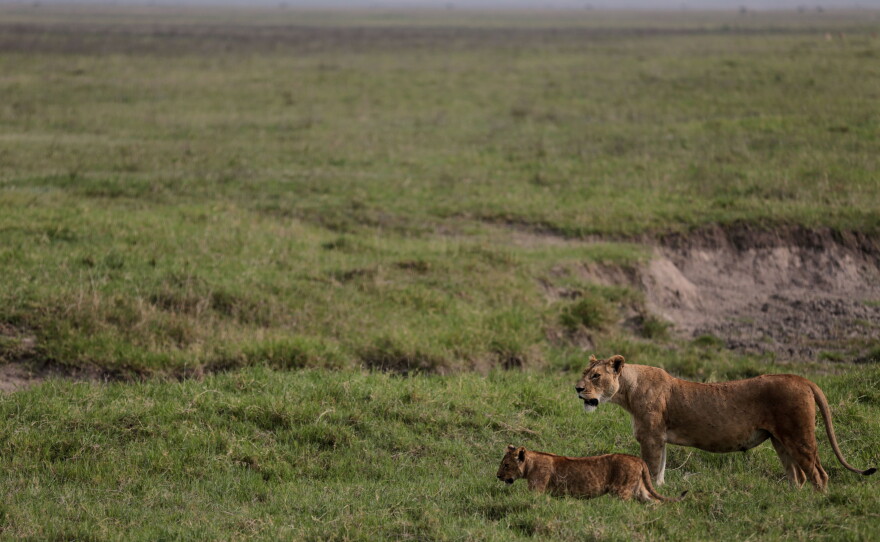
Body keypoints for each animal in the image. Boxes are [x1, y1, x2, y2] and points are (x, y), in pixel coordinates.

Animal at [496, 444, 687, 503]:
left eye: (506, 465)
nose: (497, 476)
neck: (531, 464)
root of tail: (637, 459)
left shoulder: (537, 489)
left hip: (622, 491)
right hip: (640, 489)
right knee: (655, 502)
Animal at [575, 355, 877, 491]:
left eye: (596, 376)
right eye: (584, 372)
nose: (577, 388)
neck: (628, 390)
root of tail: (802, 379)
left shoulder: (650, 437)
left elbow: (649, 467)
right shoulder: (660, 439)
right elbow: (659, 469)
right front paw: (660, 492)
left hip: (799, 436)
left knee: (818, 474)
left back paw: (815, 502)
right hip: (780, 441)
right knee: (797, 475)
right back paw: (793, 500)